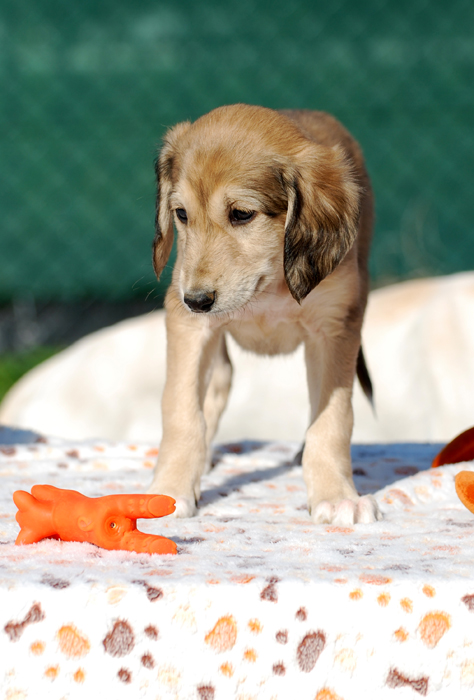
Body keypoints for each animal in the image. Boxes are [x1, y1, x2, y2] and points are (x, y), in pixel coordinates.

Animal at [148, 104, 382, 525]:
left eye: (242, 214)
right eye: (181, 214)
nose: (197, 299)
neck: (270, 288)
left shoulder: (334, 330)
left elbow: (332, 420)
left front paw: (336, 495)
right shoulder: (189, 325)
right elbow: (181, 411)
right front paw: (170, 490)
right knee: (218, 385)